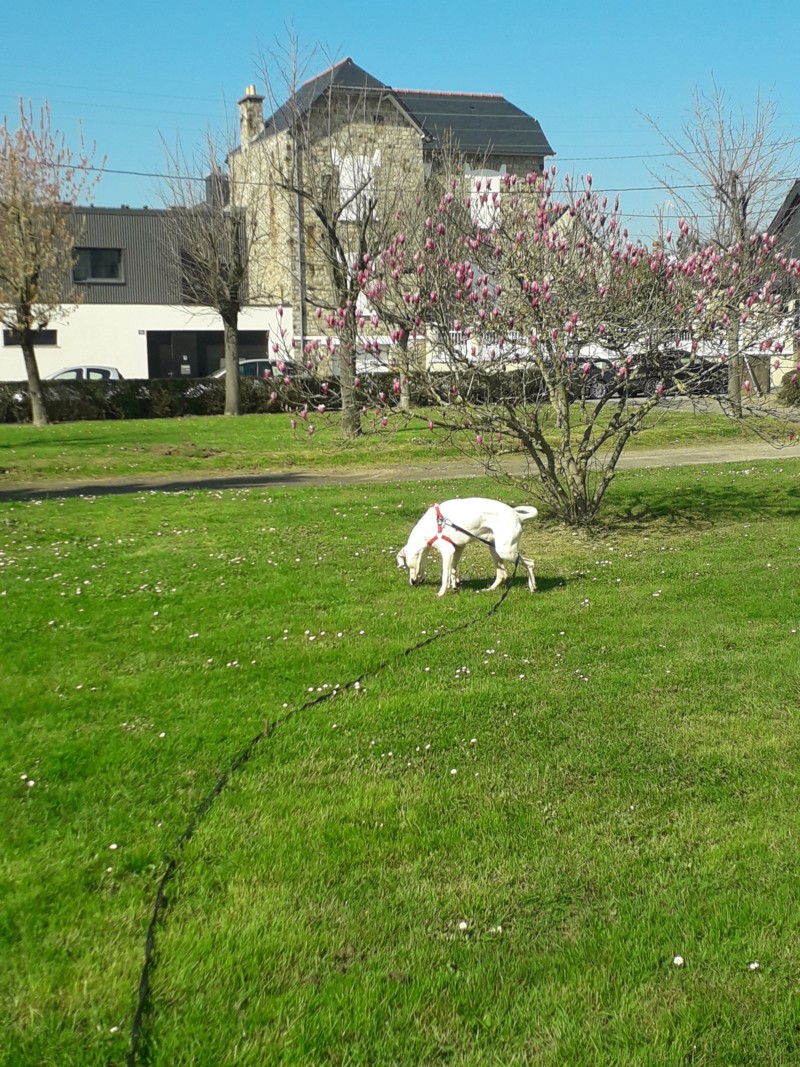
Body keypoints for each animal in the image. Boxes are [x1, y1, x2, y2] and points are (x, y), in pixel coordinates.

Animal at [398, 497, 541, 597]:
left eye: (408, 566)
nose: (412, 583)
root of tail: (518, 516)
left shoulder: (448, 551)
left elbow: (445, 575)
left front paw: (441, 593)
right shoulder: (457, 548)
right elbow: (453, 570)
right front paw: (454, 586)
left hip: (505, 551)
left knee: (530, 563)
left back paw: (532, 586)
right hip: (495, 549)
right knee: (502, 574)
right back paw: (489, 589)